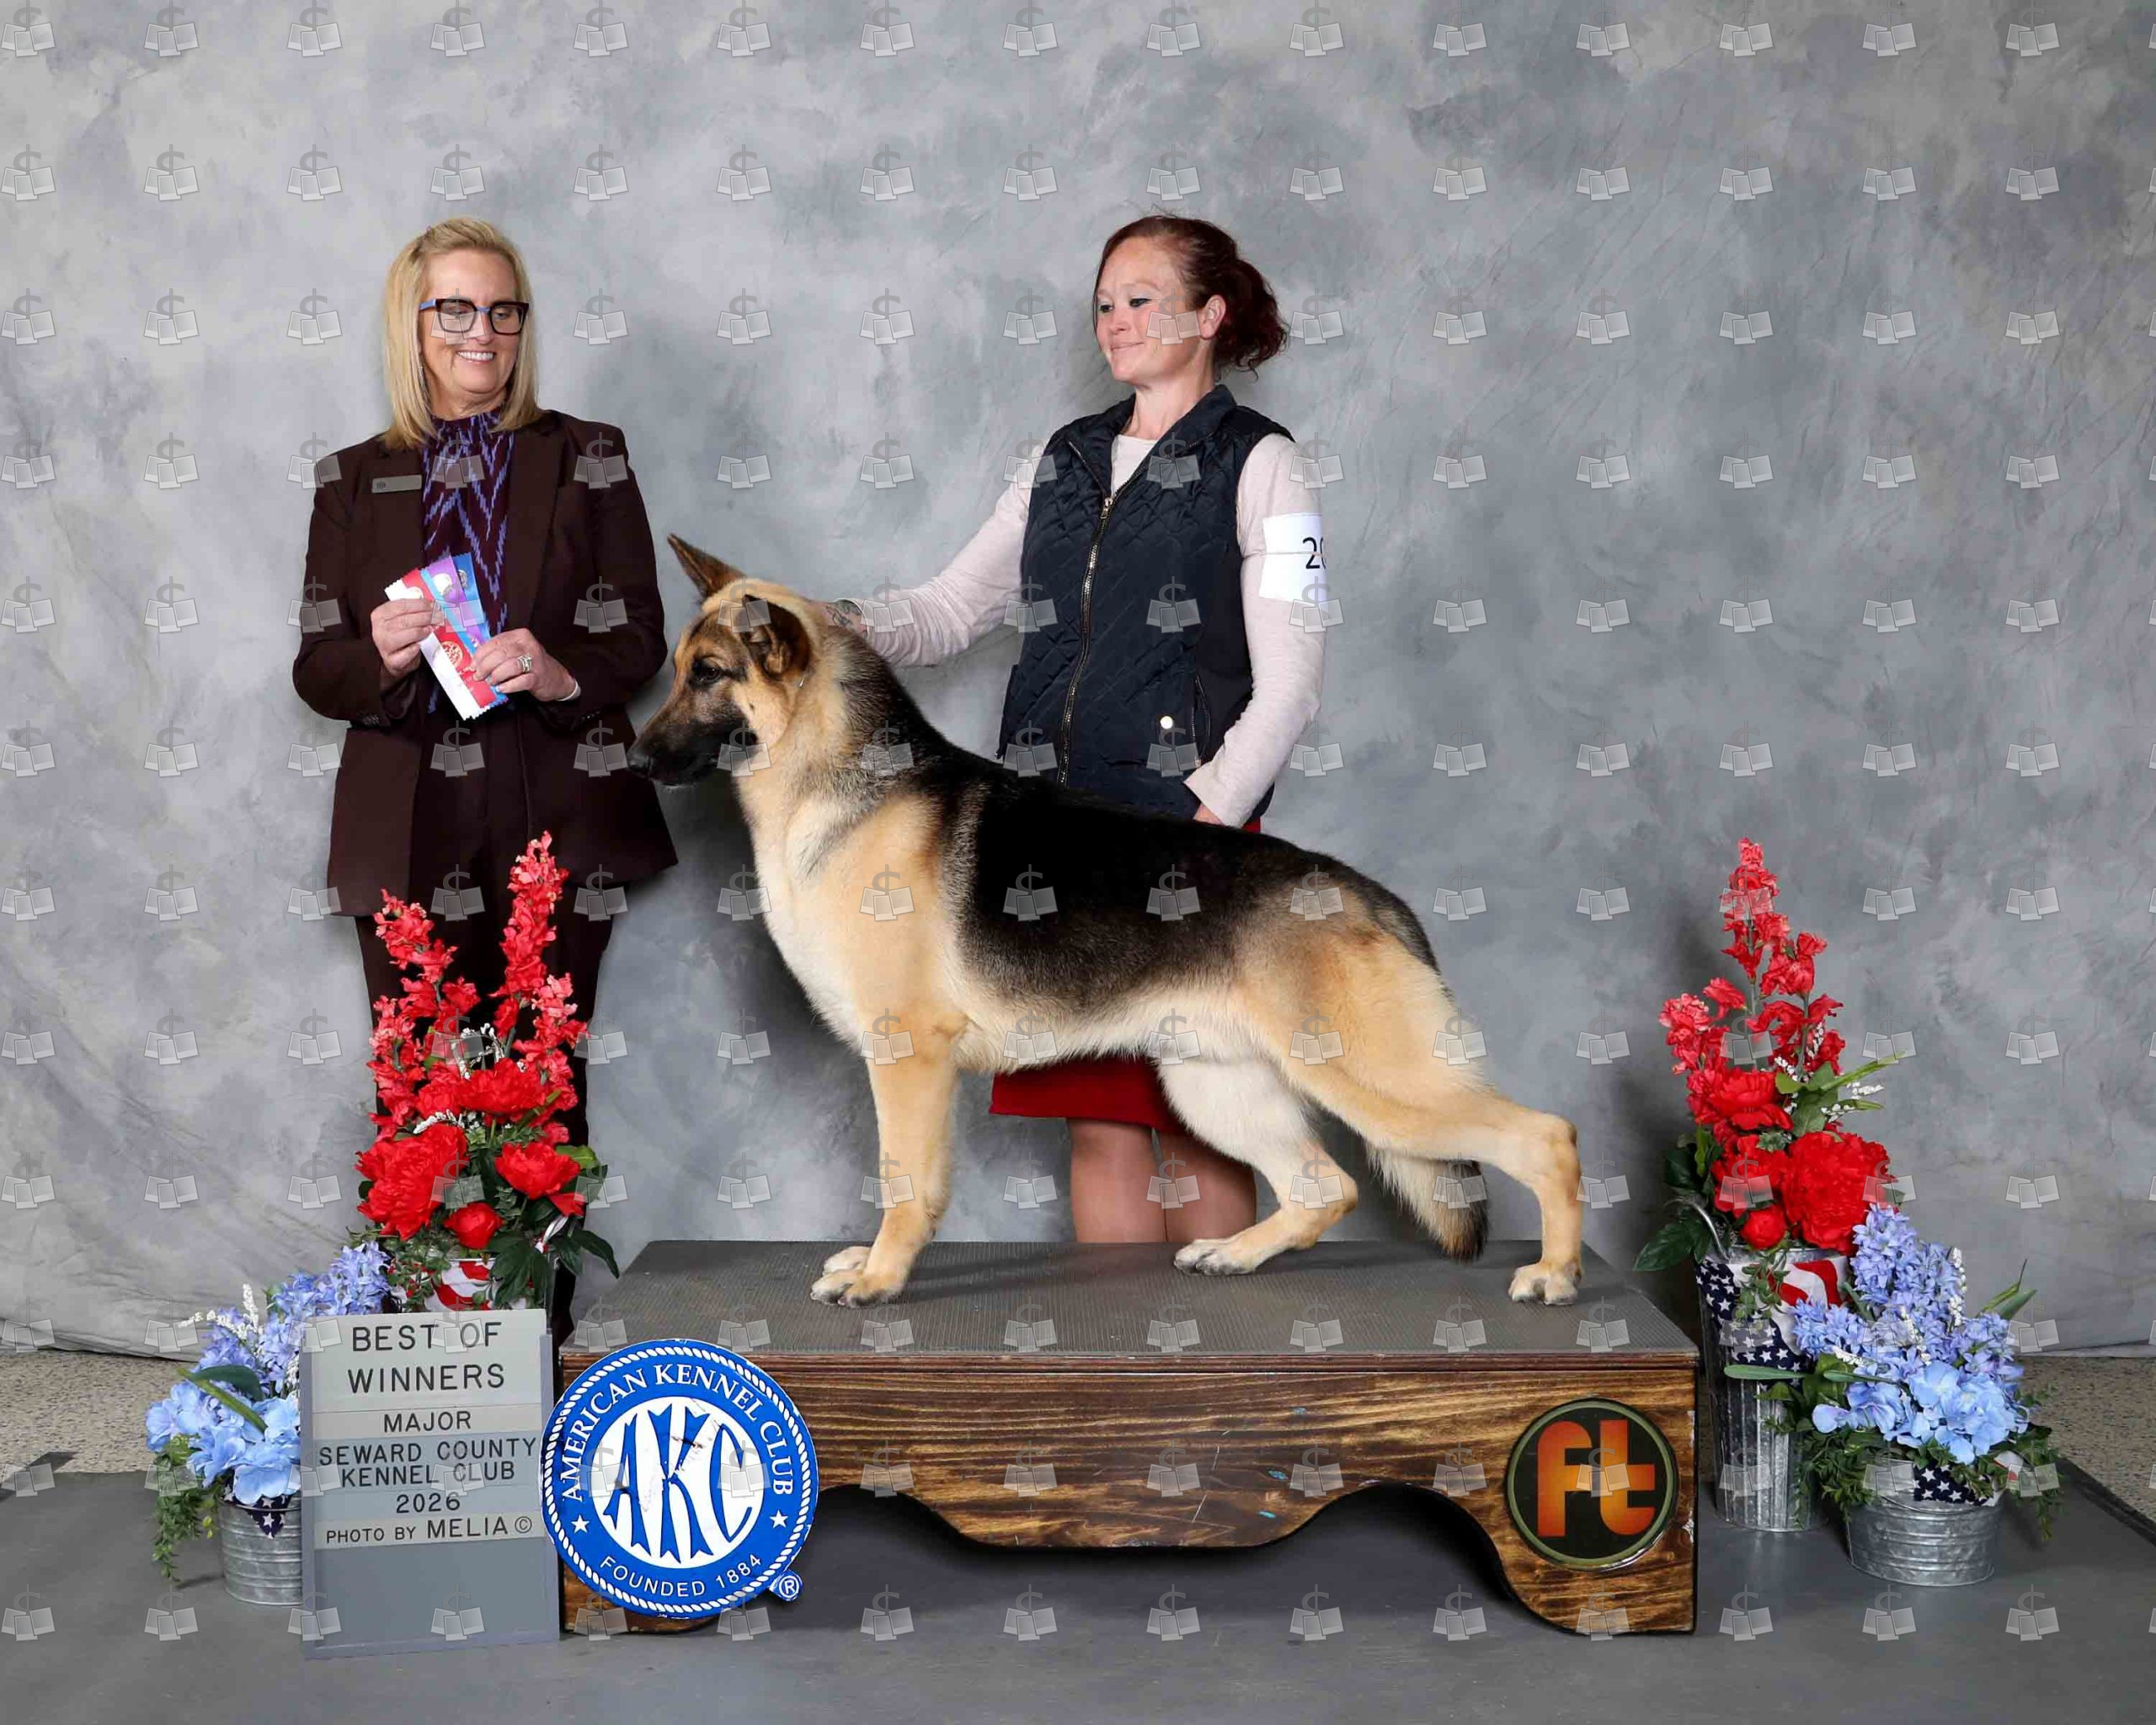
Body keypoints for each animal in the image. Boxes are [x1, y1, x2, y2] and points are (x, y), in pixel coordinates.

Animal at [625, 537, 1584, 1309]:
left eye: (708, 675)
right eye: (677, 669)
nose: (629, 757)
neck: (830, 777)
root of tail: (1367, 894)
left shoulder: (907, 1060)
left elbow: (905, 1182)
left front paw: (882, 1277)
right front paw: (872, 1265)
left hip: (1379, 1085)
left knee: (1547, 1136)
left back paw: (1555, 1273)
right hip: (1213, 1088)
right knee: (1325, 1188)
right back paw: (1235, 1255)